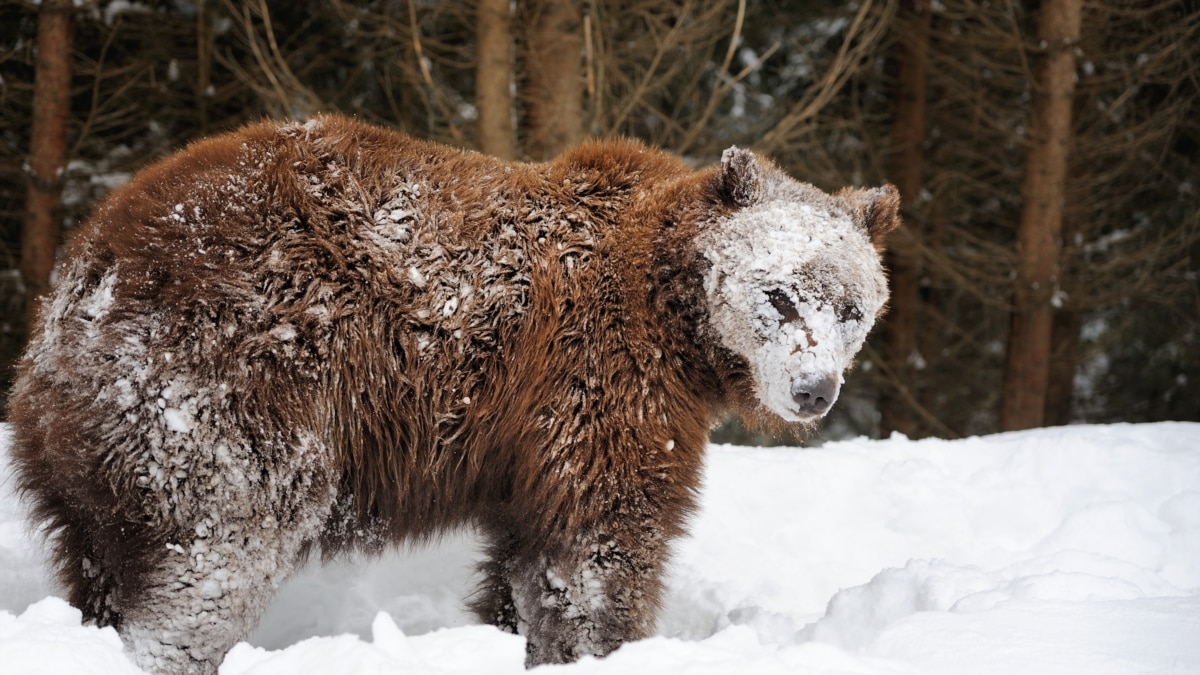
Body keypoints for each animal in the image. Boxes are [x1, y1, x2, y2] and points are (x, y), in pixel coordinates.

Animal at [4, 112, 897, 667]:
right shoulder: (599, 383)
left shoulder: (529, 441)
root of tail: (85, 274)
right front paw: (600, 642)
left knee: (105, 568)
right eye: (779, 294)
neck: (675, 319)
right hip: (229, 386)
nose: (814, 389)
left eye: (852, 306)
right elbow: (600, 545)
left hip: (96, 456)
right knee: (211, 561)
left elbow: (527, 563)